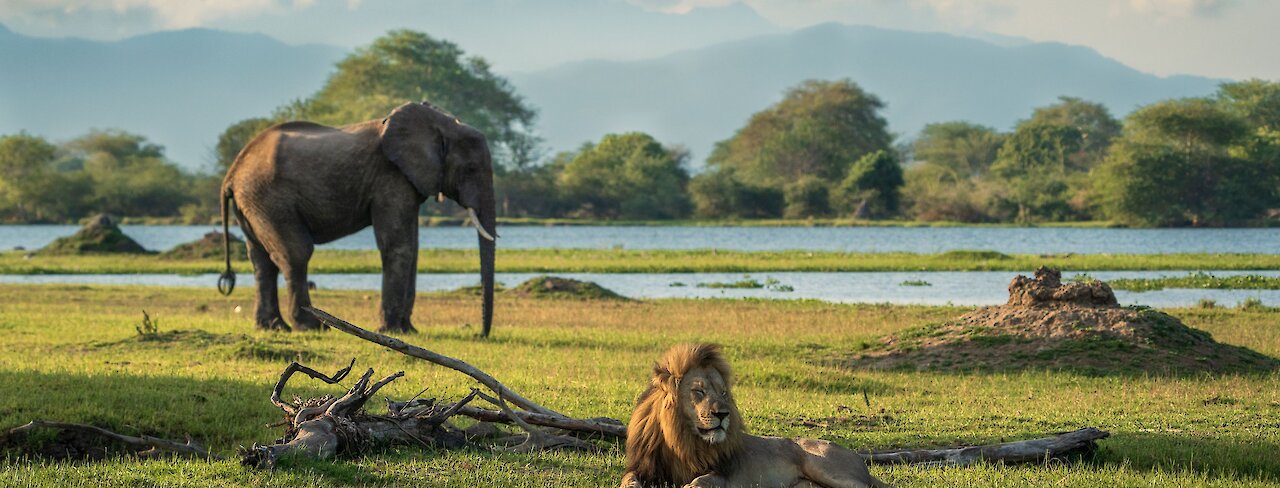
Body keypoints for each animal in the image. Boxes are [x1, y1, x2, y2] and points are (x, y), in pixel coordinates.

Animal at [217, 101, 496, 335]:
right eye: (471, 169)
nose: (478, 334)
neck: (441, 122)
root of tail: (231, 174)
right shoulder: (390, 177)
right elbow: (398, 246)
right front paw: (392, 331)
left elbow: (413, 248)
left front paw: (409, 331)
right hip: (270, 198)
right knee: (296, 253)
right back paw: (311, 327)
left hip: (252, 204)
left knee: (261, 261)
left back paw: (272, 327)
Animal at [619, 343, 890, 486]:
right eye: (699, 391)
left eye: (723, 393)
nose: (723, 414)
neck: (682, 440)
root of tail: (856, 457)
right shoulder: (644, 467)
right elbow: (628, 479)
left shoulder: (725, 475)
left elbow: (700, 481)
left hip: (826, 468)